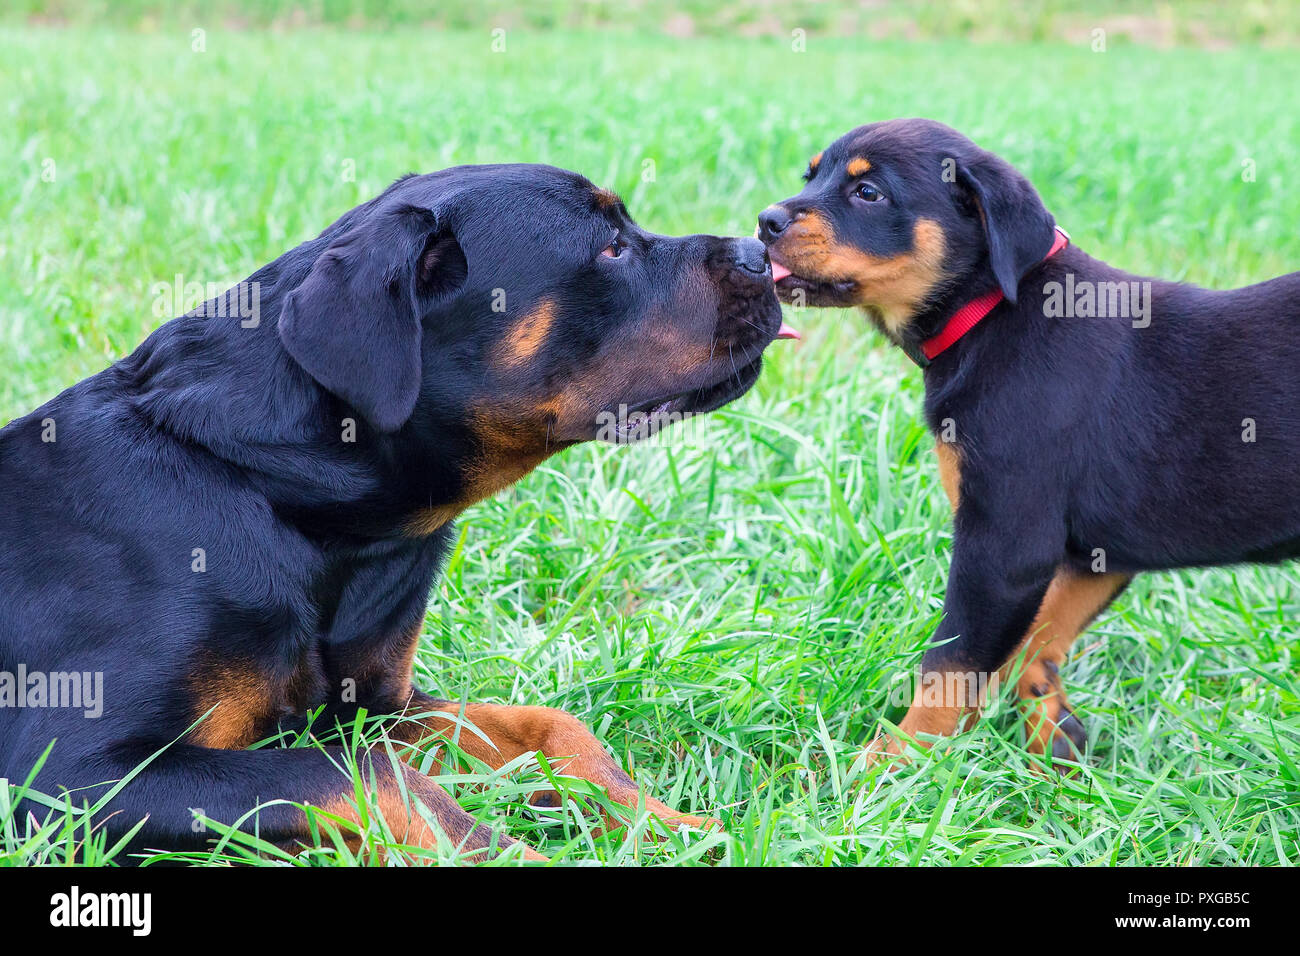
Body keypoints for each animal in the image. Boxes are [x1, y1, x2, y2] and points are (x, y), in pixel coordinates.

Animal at [0, 164, 795, 858]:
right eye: (611, 247)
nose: (763, 250)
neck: (281, 493)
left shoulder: (375, 709)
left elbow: (553, 726)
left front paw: (668, 824)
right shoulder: (68, 778)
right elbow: (375, 780)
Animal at [759, 115, 1300, 764]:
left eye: (869, 193)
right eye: (811, 177)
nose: (764, 222)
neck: (991, 312)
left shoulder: (1004, 546)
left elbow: (951, 661)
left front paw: (890, 762)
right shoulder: (1089, 555)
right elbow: (1034, 643)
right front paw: (1055, 748)